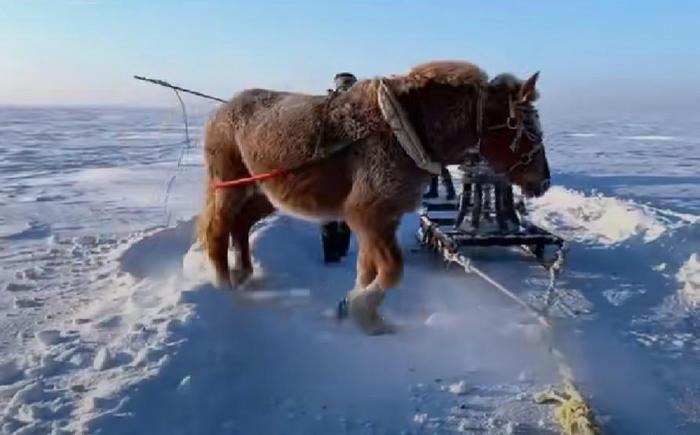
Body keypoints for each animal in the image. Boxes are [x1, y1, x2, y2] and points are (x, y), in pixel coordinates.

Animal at [197, 60, 552, 334]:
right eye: (530, 132)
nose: (544, 182)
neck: (409, 129)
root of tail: (220, 111)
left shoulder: (383, 219)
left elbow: (367, 269)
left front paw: (361, 311)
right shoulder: (366, 214)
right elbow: (392, 270)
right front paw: (360, 308)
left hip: (265, 193)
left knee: (241, 225)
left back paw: (243, 273)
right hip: (230, 185)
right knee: (218, 228)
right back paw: (222, 283)